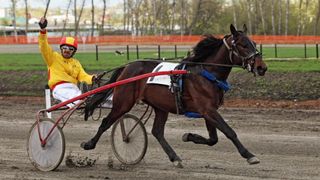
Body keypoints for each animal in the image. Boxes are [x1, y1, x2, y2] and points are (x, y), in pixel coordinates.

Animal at [82, 24, 268, 167]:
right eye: (243, 45)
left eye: (254, 43)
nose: (262, 67)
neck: (206, 73)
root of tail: (128, 66)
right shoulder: (208, 109)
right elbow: (229, 132)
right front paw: (249, 155)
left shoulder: (209, 110)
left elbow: (213, 139)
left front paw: (189, 136)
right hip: (123, 102)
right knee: (106, 121)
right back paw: (89, 143)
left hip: (160, 107)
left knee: (157, 131)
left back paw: (175, 157)